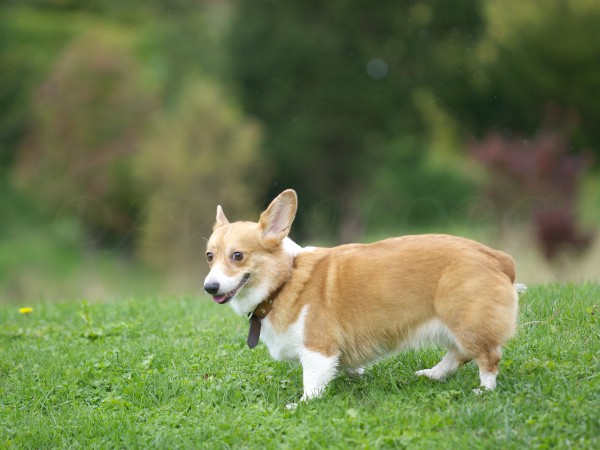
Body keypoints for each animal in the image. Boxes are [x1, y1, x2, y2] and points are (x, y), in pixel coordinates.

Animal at [203, 189, 520, 400]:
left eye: (238, 255)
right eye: (209, 256)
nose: (210, 287)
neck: (284, 280)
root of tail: (498, 257)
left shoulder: (318, 350)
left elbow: (312, 384)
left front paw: (301, 404)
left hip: (465, 320)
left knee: (488, 357)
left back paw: (483, 390)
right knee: (458, 354)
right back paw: (432, 374)